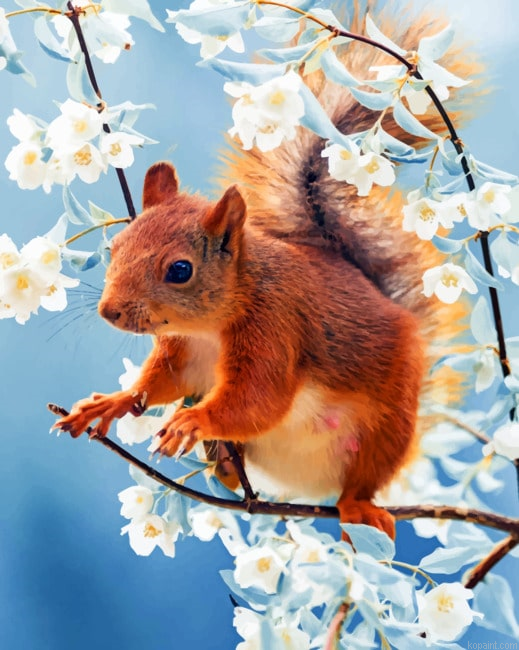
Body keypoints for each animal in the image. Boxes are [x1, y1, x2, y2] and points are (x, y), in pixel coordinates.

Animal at [53, 10, 474, 539]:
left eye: (180, 270)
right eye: (115, 247)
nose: (109, 311)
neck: (210, 326)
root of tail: (307, 488)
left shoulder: (275, 328)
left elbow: (259, 400)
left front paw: (194, 421)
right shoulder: (183, 353)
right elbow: (158, 384)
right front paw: (110, 402)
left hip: (388, 427)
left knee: (362, 480)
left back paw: (358, 509)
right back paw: (226, 467)